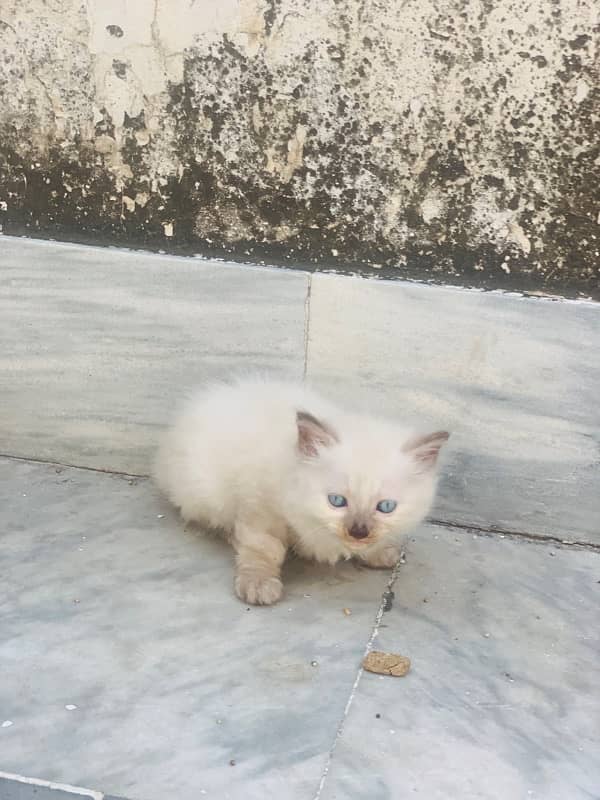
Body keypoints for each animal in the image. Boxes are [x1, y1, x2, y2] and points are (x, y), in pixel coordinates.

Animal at [152, 378, 448, 604]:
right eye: (337, 501)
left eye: (385, 507)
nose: (358, 532)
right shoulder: (260, 507)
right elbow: (263, 549)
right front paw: (259, 585)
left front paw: (379, 552)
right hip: (206, 494)